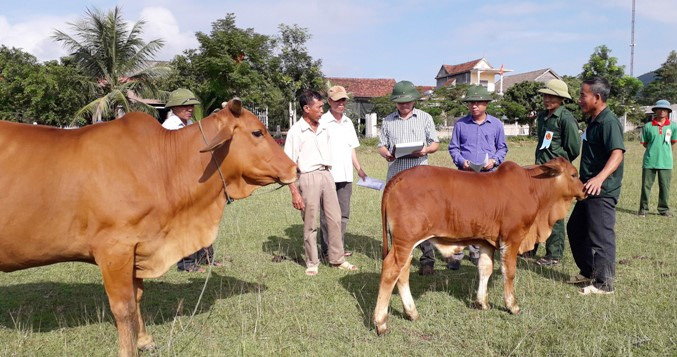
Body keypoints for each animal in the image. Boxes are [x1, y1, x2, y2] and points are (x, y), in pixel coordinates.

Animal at [0, 98, 296, 354]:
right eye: (257, 132)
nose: (295, 168)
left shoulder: (137, 246)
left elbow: (138, 296)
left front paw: (144, 340)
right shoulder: (114, 250)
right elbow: (124, 307)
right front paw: (129, 350)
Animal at [372, 157, 584, 336]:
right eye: (574, 174)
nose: (585, 190)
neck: (532, 187)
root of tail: (399, 177)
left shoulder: (486, 242)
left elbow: (485, 269)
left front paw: (482, 302)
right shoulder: (512, 239)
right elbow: (509, 272)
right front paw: (512, 306)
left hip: (405, 243)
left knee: (403, 271)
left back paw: (412, 313)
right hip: (405, 241)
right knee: (391, 270)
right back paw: (381, 323)